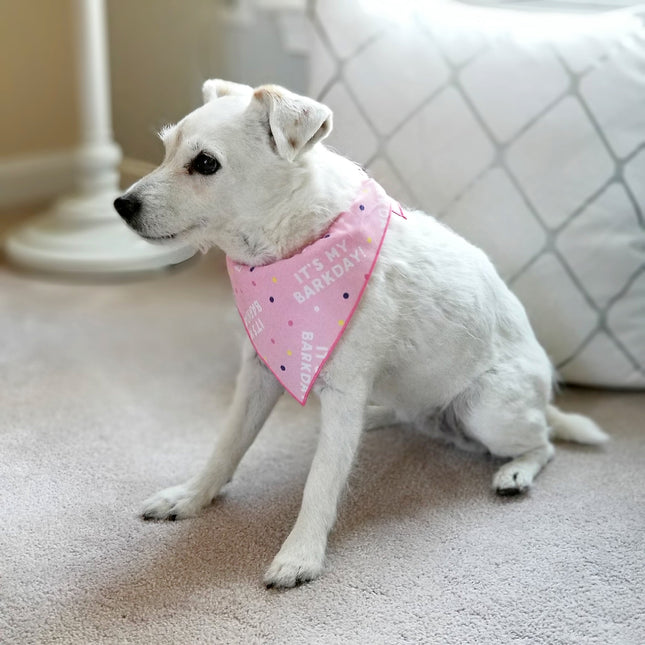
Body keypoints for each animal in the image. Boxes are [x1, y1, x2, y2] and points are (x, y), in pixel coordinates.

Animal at [113, 78, 608, 588]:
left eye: (206, 163)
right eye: (165, 150)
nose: (121, 205)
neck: (293, 249)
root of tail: (542, 398)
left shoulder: (343, 390)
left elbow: (320, 483)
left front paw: (300, 554)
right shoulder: (259, 373)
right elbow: (227, 446)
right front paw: (191, 497)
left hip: (487, 411)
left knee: (543, 444)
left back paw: (517, 472)